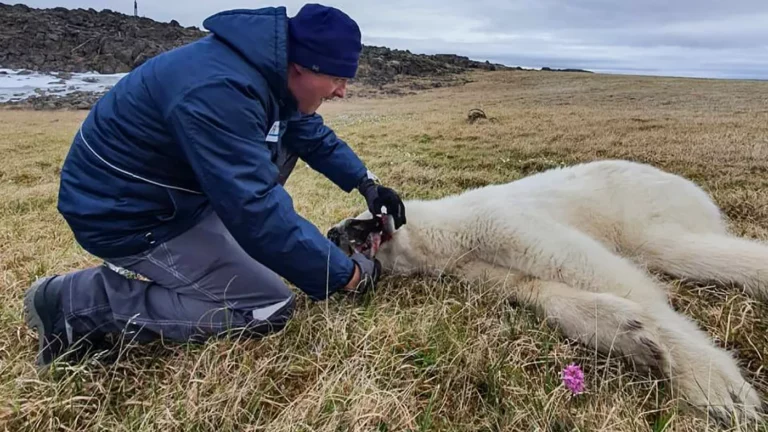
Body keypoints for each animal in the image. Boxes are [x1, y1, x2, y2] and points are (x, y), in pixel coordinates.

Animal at [328, 159, 768, 426]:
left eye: (358, 217)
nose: (333, 232)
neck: (444, 234)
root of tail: (694, 190)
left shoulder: (497, 222)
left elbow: (587, 267)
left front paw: (715, 386)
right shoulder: (475, 266)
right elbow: (536, 289)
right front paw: (632, 335)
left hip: (644, 206)